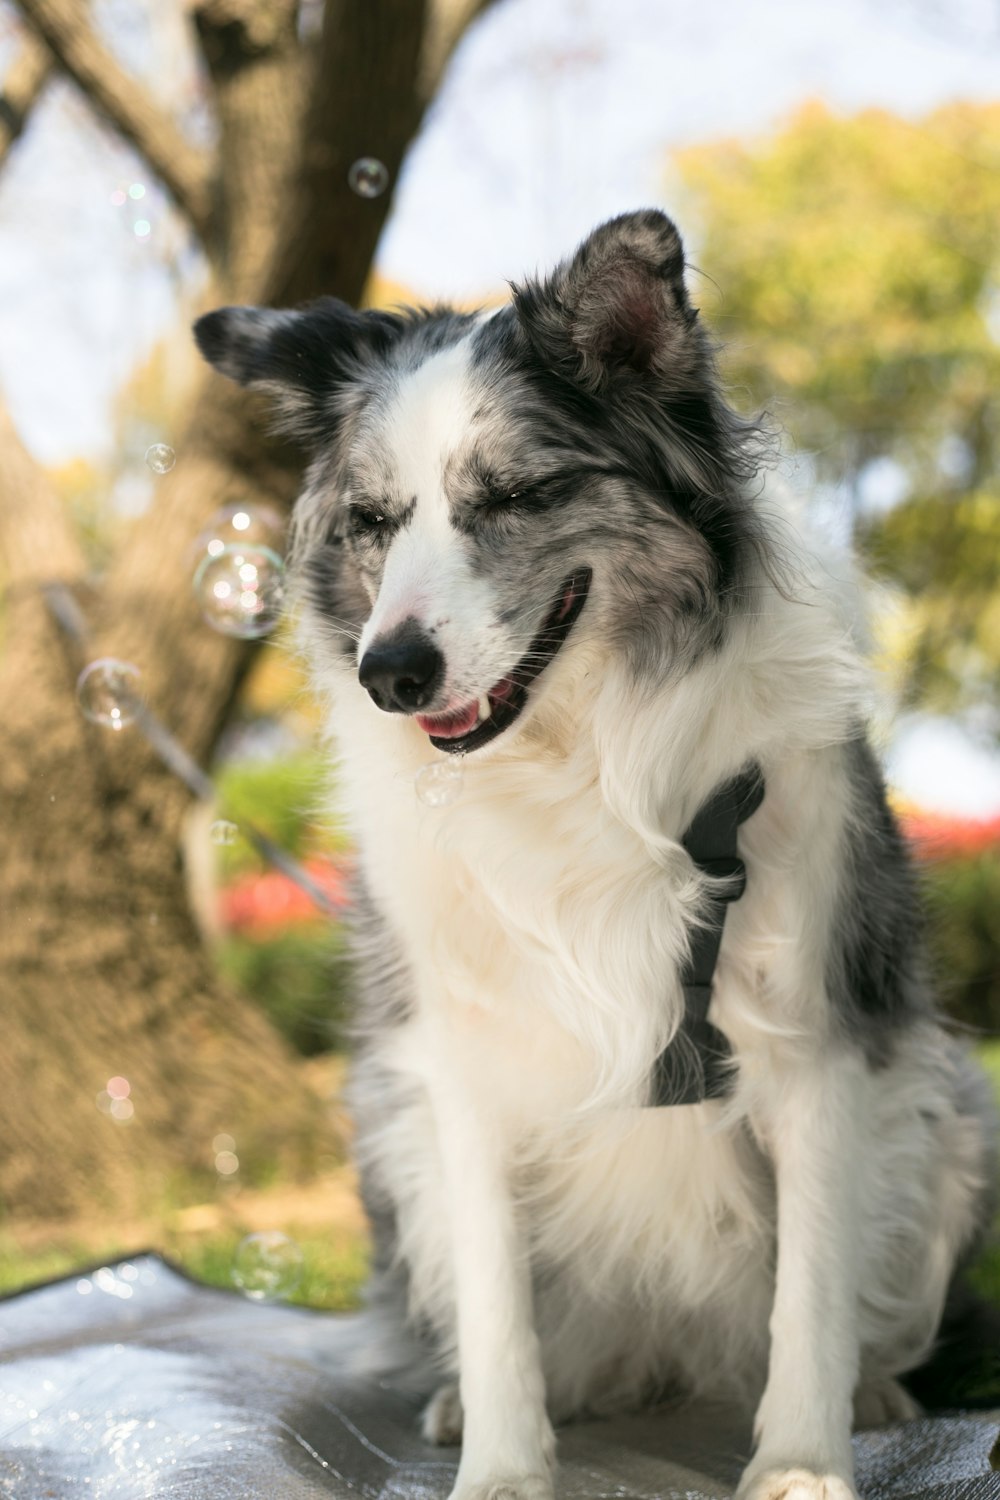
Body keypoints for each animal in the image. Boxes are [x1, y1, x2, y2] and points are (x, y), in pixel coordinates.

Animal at [194, 211, 995, 1500]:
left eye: (518, 494)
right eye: (371, 523)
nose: (389, 673)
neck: (577, 755)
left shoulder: (818, 1041)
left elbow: (811, 1295)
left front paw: (801, 1462)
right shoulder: (458, 1066)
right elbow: (496, 1305)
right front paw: (505, 1469)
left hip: (950, 1108)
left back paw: (875, 1390)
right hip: (389, 1128)